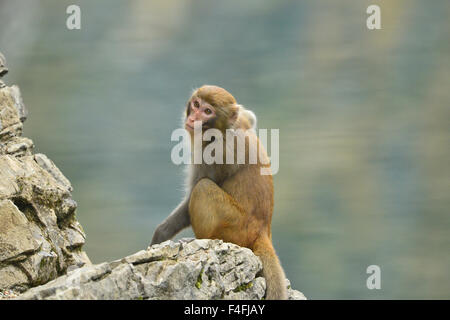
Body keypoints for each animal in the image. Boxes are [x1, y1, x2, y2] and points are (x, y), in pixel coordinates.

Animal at [149, 85, 286, 300]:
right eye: (196, 104)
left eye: (207, 111)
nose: (192, 118)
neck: (222, 130)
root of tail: (263, 230)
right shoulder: (243, 119)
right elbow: (251, 117)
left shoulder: (213, 153)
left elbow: (192, 197)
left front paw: (159, 236)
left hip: (235, 227)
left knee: (203, 188)